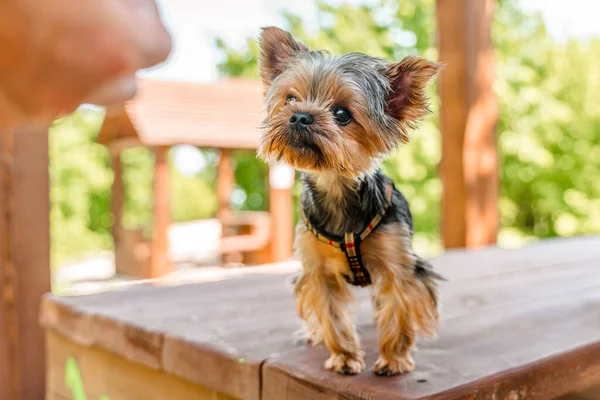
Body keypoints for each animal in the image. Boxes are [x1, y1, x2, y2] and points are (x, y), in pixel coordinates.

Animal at [255, 26, 442, 376]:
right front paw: (344, 356)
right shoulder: (317, 270)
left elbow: (398, 309)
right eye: (290, 99)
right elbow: (332, 316)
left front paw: (394, 359)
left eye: (342, 114)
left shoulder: (398, 264)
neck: (336, 189)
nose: (299, 117)